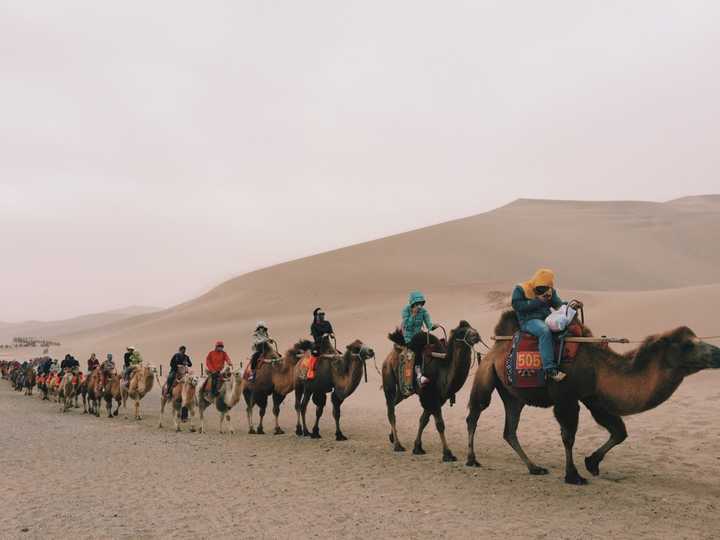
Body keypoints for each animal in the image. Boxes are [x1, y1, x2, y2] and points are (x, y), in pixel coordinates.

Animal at [382, 320, 478, 460]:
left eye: (472, 328)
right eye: (462, 332)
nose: (476, 335)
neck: (442, 370)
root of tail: (389, 356)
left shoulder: (437, 398)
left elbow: (423, 420)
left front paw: (417, 447)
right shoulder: (429, 396)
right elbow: (440, 424)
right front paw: (448, 453)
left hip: (403, 391)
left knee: (393, 404)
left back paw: (392, 437)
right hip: (388, 379)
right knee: (391, 411)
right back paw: (398, 445)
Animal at [464, 312, 720, 486]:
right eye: (688, 344)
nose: (718, 353)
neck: (599, 368)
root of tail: (496, 345)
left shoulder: (594, 398)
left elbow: (619, 431)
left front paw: (592, 463)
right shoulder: (566, 398)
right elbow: (569, 436)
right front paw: (573, 475)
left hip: (512, 394)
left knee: (510, 429)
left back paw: (534, 467)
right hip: (486, 375)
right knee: (475, 414)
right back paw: (471, 459)